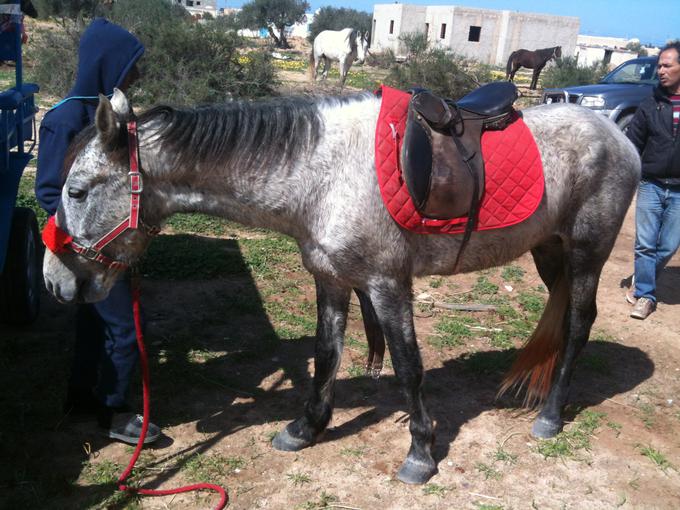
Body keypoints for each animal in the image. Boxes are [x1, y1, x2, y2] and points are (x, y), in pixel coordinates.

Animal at [43, 88, 644, 486]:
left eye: (77, 191)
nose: (55, 281)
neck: (319, 173)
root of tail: (616, 129)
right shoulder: (330, 278)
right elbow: (326, 353)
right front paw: (305, 428)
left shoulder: (387, 284)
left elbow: (407, 367)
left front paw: (421, 453)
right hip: (550, 251)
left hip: (586, 253)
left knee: (578, 325)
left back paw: (551, 415)